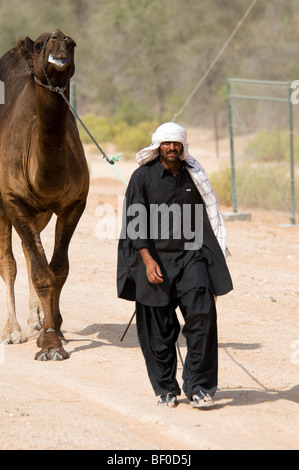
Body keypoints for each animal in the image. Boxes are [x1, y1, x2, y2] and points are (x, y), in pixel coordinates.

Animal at [0, 29, 89, 360]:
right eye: (40, 44)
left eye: (72, 44)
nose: (58, 41)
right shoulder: (14, 200)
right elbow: (41, 272)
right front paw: (49, 344)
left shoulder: (73, 204)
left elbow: (57, 269)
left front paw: (54, 330)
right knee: (10, 262)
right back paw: (13, 331)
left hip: (41, 213)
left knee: (29, 255)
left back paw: (36, 319)